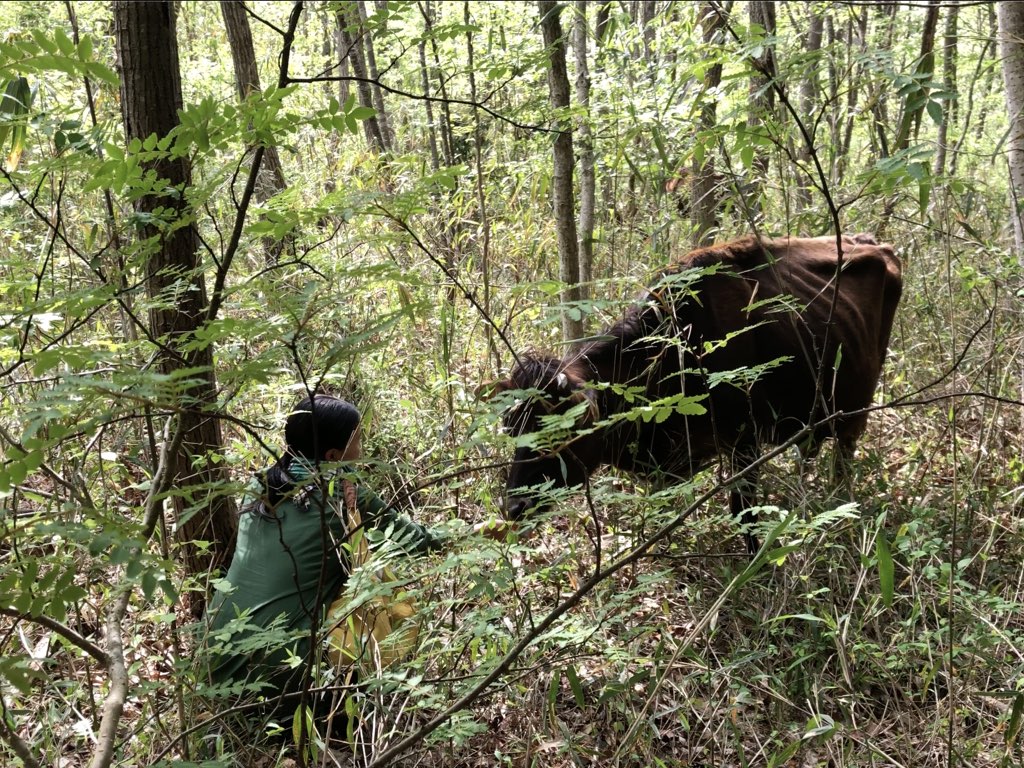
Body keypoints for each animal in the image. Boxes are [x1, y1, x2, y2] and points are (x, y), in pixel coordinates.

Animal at [483, 234, 901, 552]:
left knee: (843, 461)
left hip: (855, 413)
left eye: (560, 433)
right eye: (512, 428)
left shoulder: (745, 442)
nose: (514, 505)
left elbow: (743, 511)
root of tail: (876, 244)